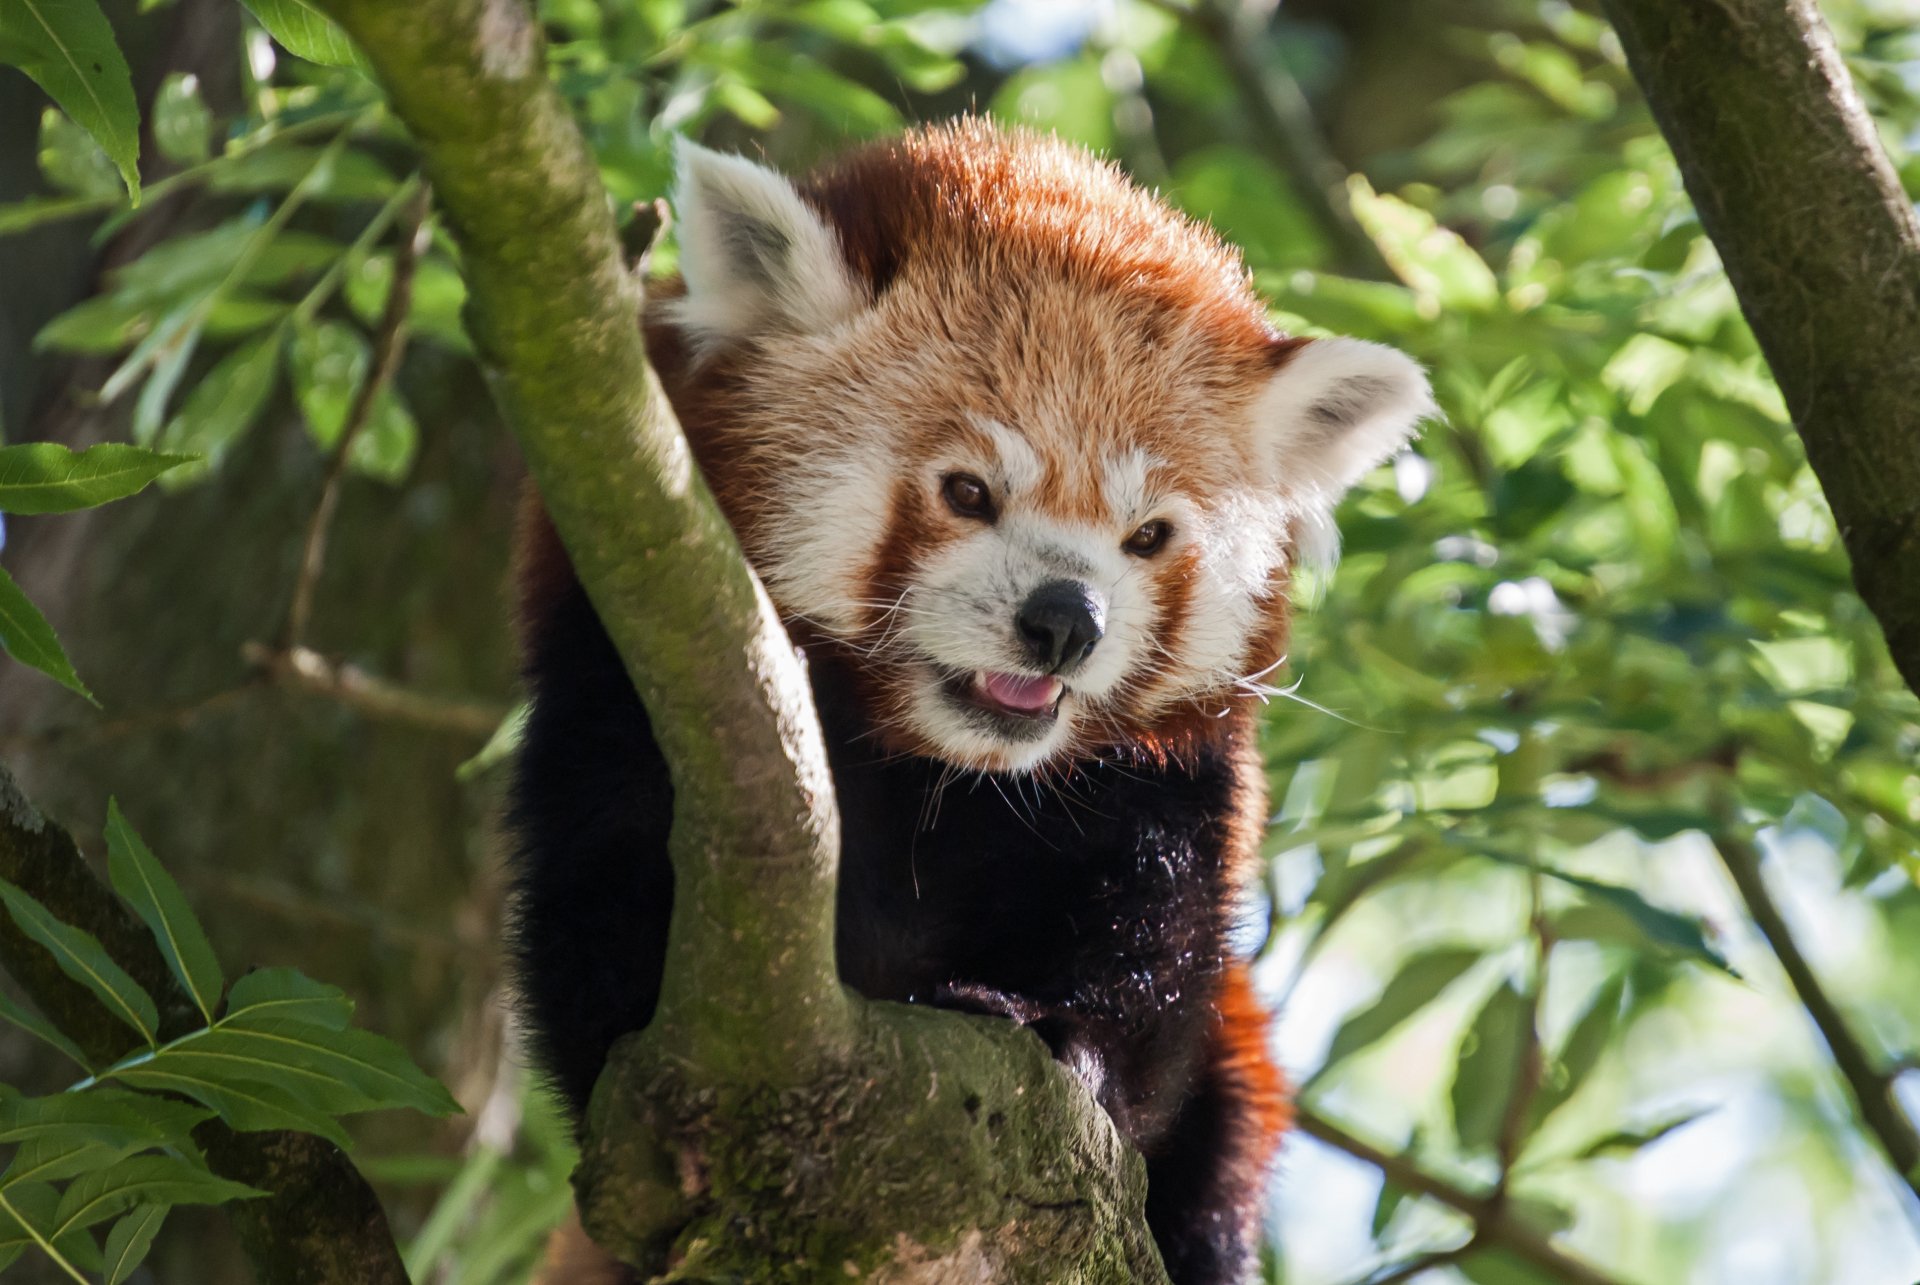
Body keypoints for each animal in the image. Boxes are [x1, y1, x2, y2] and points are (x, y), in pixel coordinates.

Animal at [509, 119, 1432, 1283]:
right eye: (968, 492)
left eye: (1147, 536)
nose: (1066, 619)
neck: (945, 772)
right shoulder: (619, 659)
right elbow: (600, 875)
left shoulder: (1160, 784)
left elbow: (1152, 944)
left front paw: (1065, 1040)